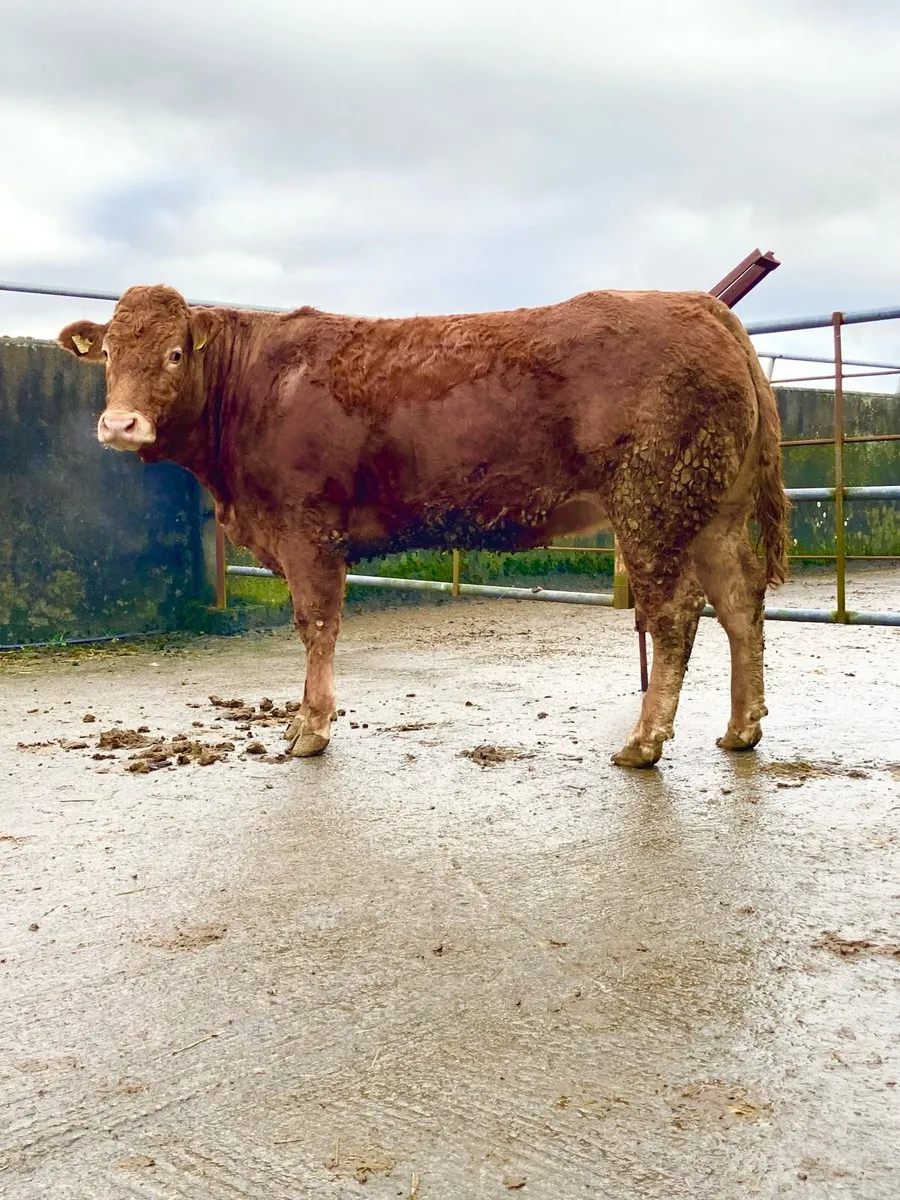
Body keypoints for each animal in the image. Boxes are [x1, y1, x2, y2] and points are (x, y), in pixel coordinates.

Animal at [58, 284, 788, 768]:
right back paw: (742, 728)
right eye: (109, 353)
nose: (120, 423)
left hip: (652, 503)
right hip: (714, 512)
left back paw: (644, 741)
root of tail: (700, 305)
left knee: (675, 613)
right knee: (740, 601)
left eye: (176, 353)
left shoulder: (306, 529)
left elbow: (316, 624)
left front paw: (310, 729)